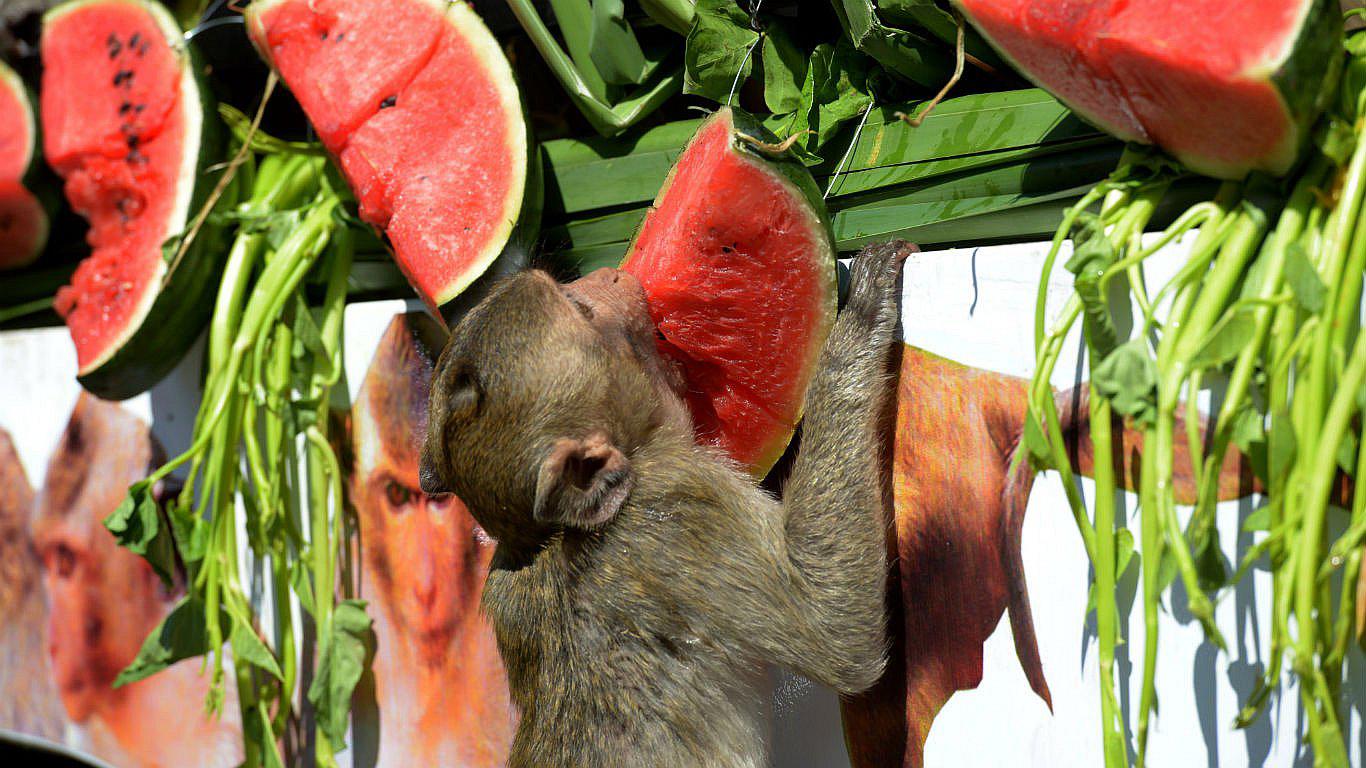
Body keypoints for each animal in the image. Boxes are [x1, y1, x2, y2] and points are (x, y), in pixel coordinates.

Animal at [418, 241, 908, 767]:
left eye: (575, 297)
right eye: (581, 309)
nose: (610, 274)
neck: (544, 539)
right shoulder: (678, 504)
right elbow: (836, 631)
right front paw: (862, 317)